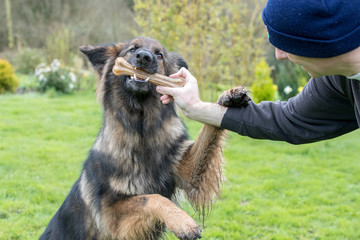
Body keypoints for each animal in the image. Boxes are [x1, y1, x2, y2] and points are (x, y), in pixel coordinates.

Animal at [40, 36, 250, 239]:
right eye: (132, 49)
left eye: (159, 55)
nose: (144, 57)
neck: (141, 132)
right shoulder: (111, 214)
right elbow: (152, 198)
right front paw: (182, 221)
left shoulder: (190, 175)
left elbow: (209, 130)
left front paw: (227, 98)